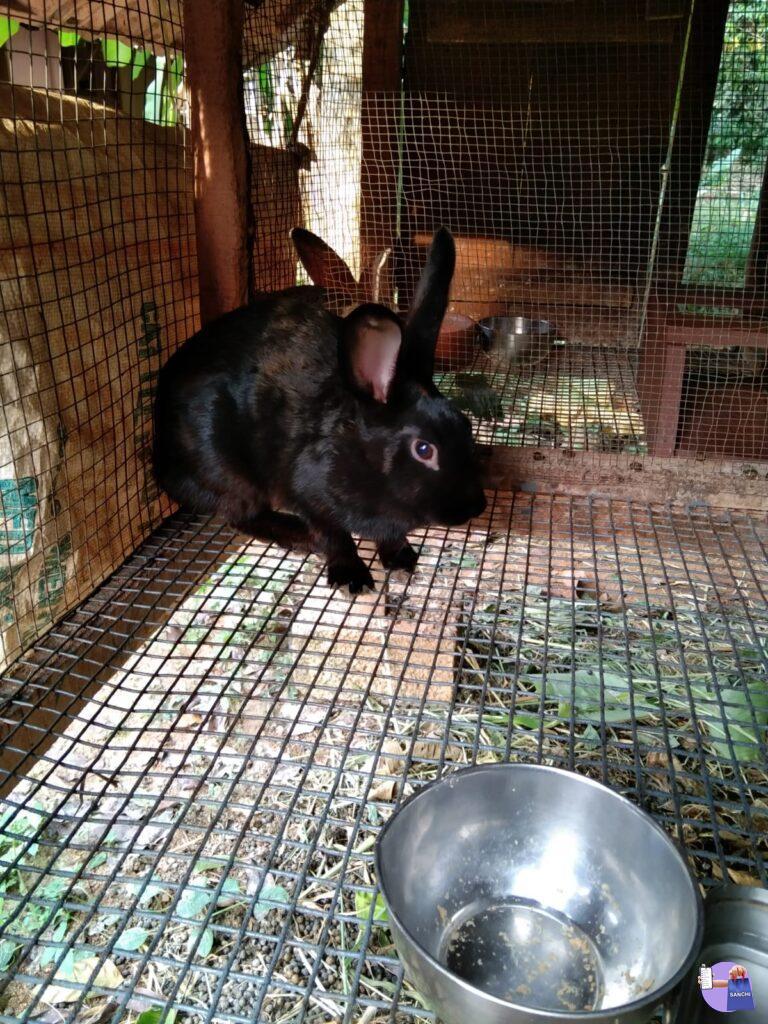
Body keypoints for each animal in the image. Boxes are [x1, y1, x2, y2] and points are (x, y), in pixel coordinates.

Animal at [153, 227, 487, 594]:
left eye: (467, 427)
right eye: (424, 449)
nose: (476, 506)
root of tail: (161, 461)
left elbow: (389, 537)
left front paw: (401, 559)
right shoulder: (310, 496)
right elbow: (335, 538)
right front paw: (352, 578)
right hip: (224, 468)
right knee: (242, 514)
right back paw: (297, 534)